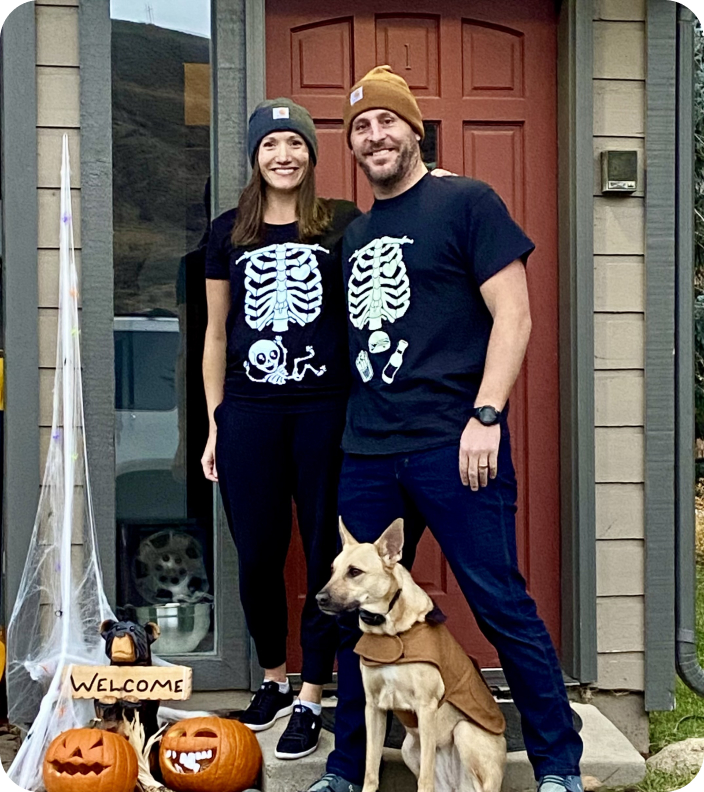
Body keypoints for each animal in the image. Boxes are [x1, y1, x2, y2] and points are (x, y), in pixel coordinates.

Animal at [314, 520, 506, 792]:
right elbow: (371, 768)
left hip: (465, 732)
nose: (319, 598)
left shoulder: (426, 708)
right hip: (408, 748)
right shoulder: (373, 707)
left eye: (354, 572)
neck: (389, 630)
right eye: (332, 570)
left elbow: (425, 779)